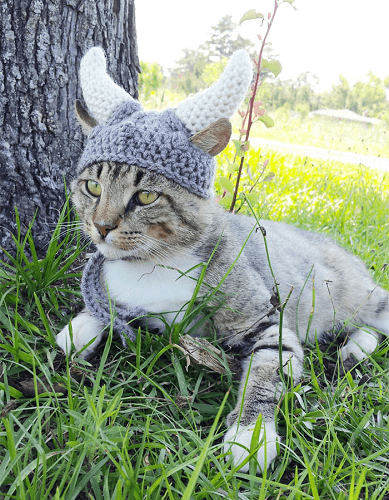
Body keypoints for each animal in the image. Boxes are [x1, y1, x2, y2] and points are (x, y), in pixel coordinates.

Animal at [56, 48, 386, 474]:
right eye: (92, 187)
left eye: (146, 196)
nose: (101, 227)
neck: (153, 262)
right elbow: (101, 310)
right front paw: (79, 328)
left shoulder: (267, 321)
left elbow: (266, 371)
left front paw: (251, 436)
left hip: (361, 297)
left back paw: (354, 348)